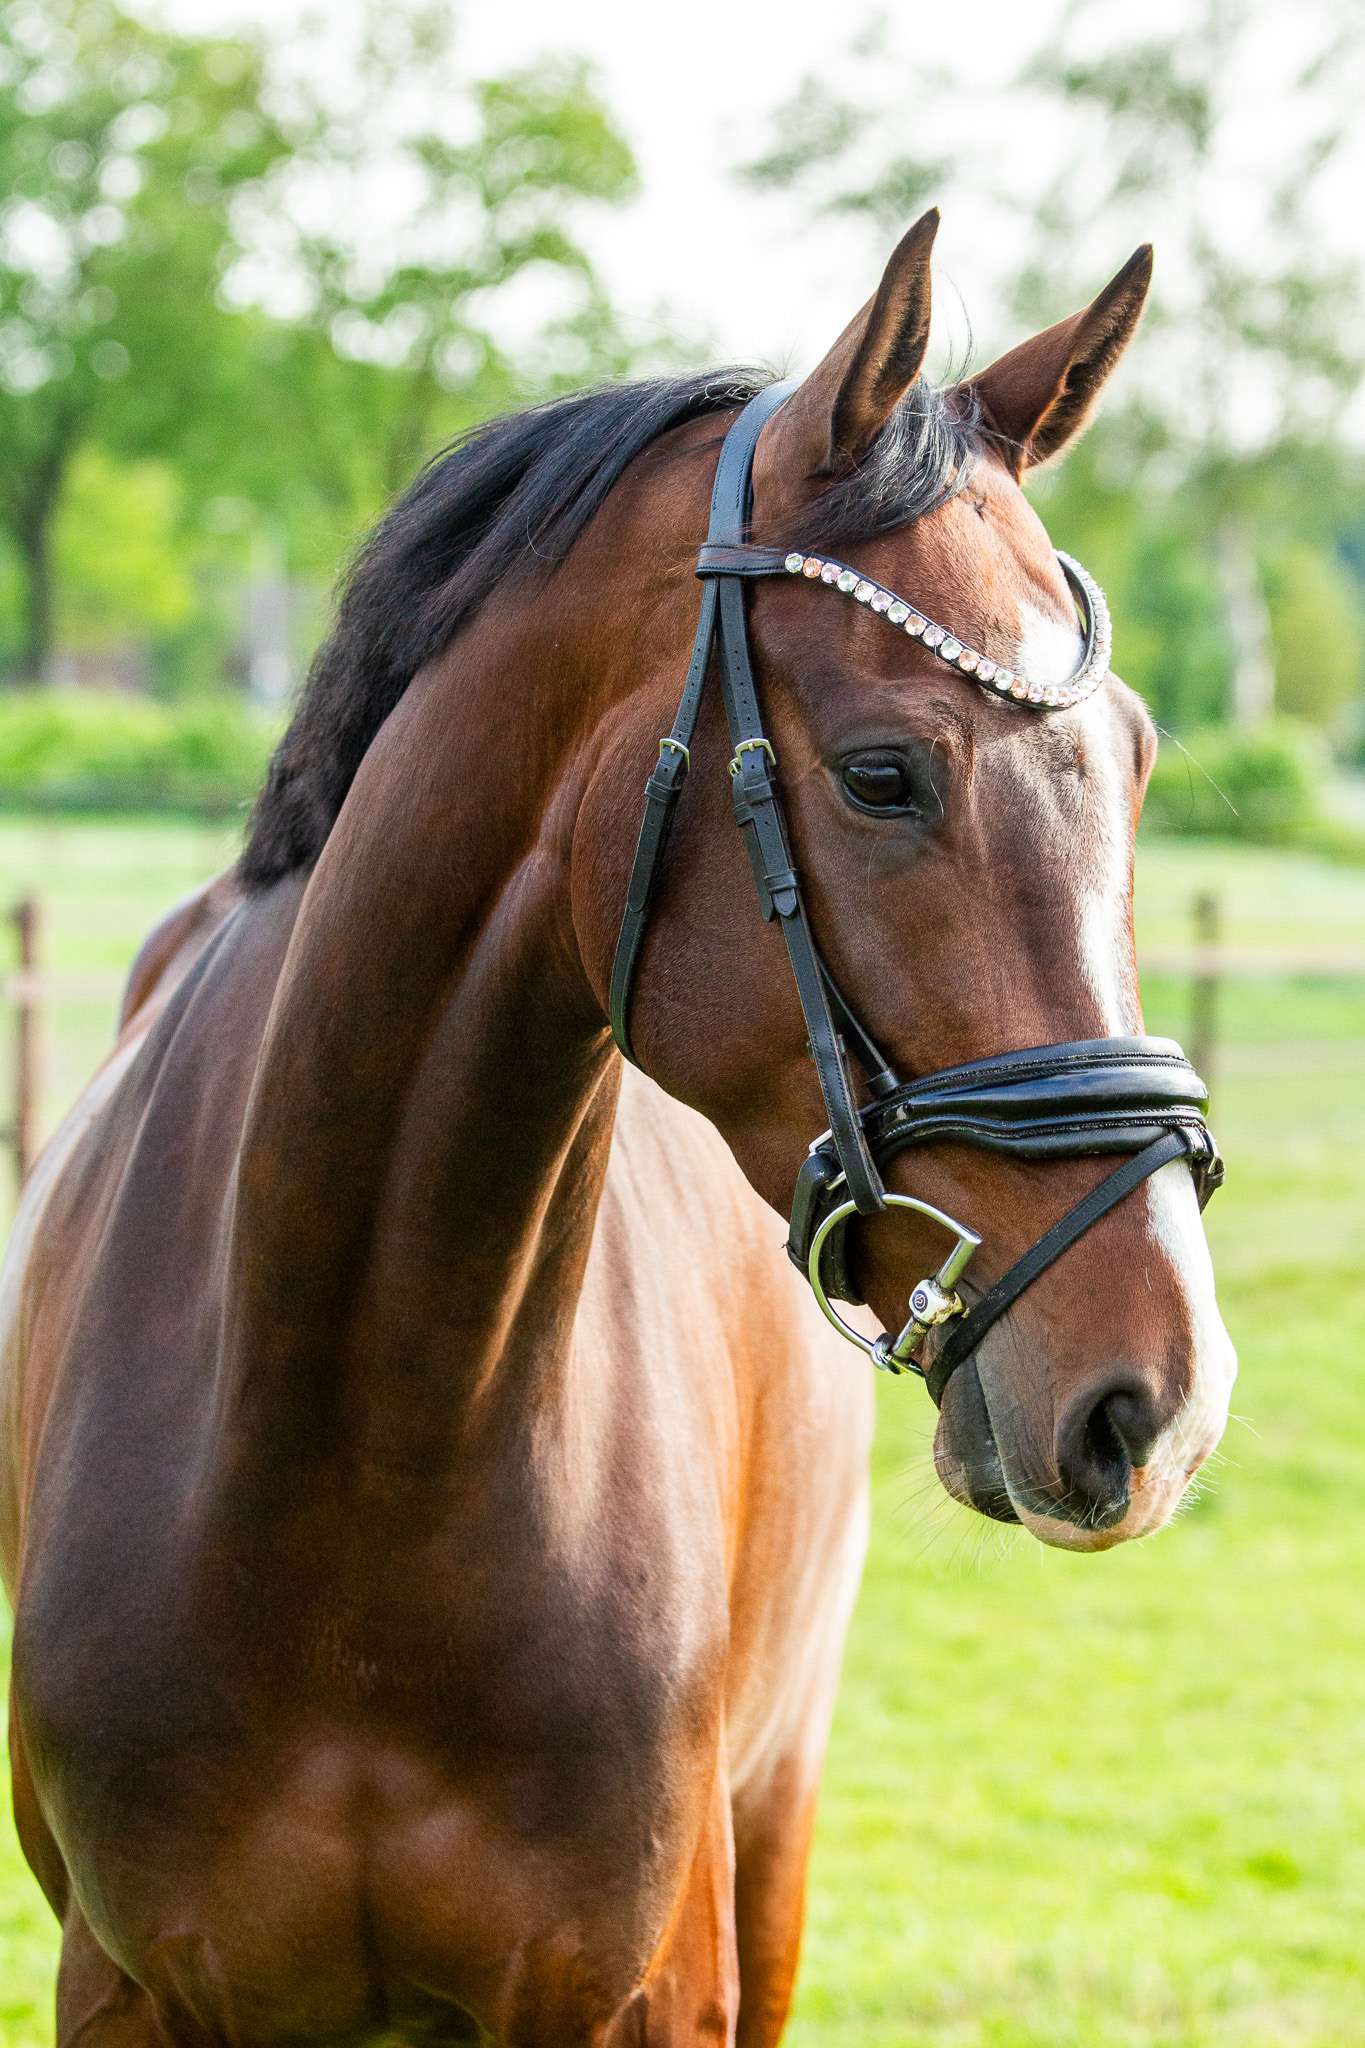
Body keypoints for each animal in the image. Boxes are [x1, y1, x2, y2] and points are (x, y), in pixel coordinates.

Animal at [0, 209, 1235, 2046]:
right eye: (884, 776)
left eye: (1139, 764)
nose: (1159, 1398)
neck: (355, 1450)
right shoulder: (131, 1989)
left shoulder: (650, 1986)